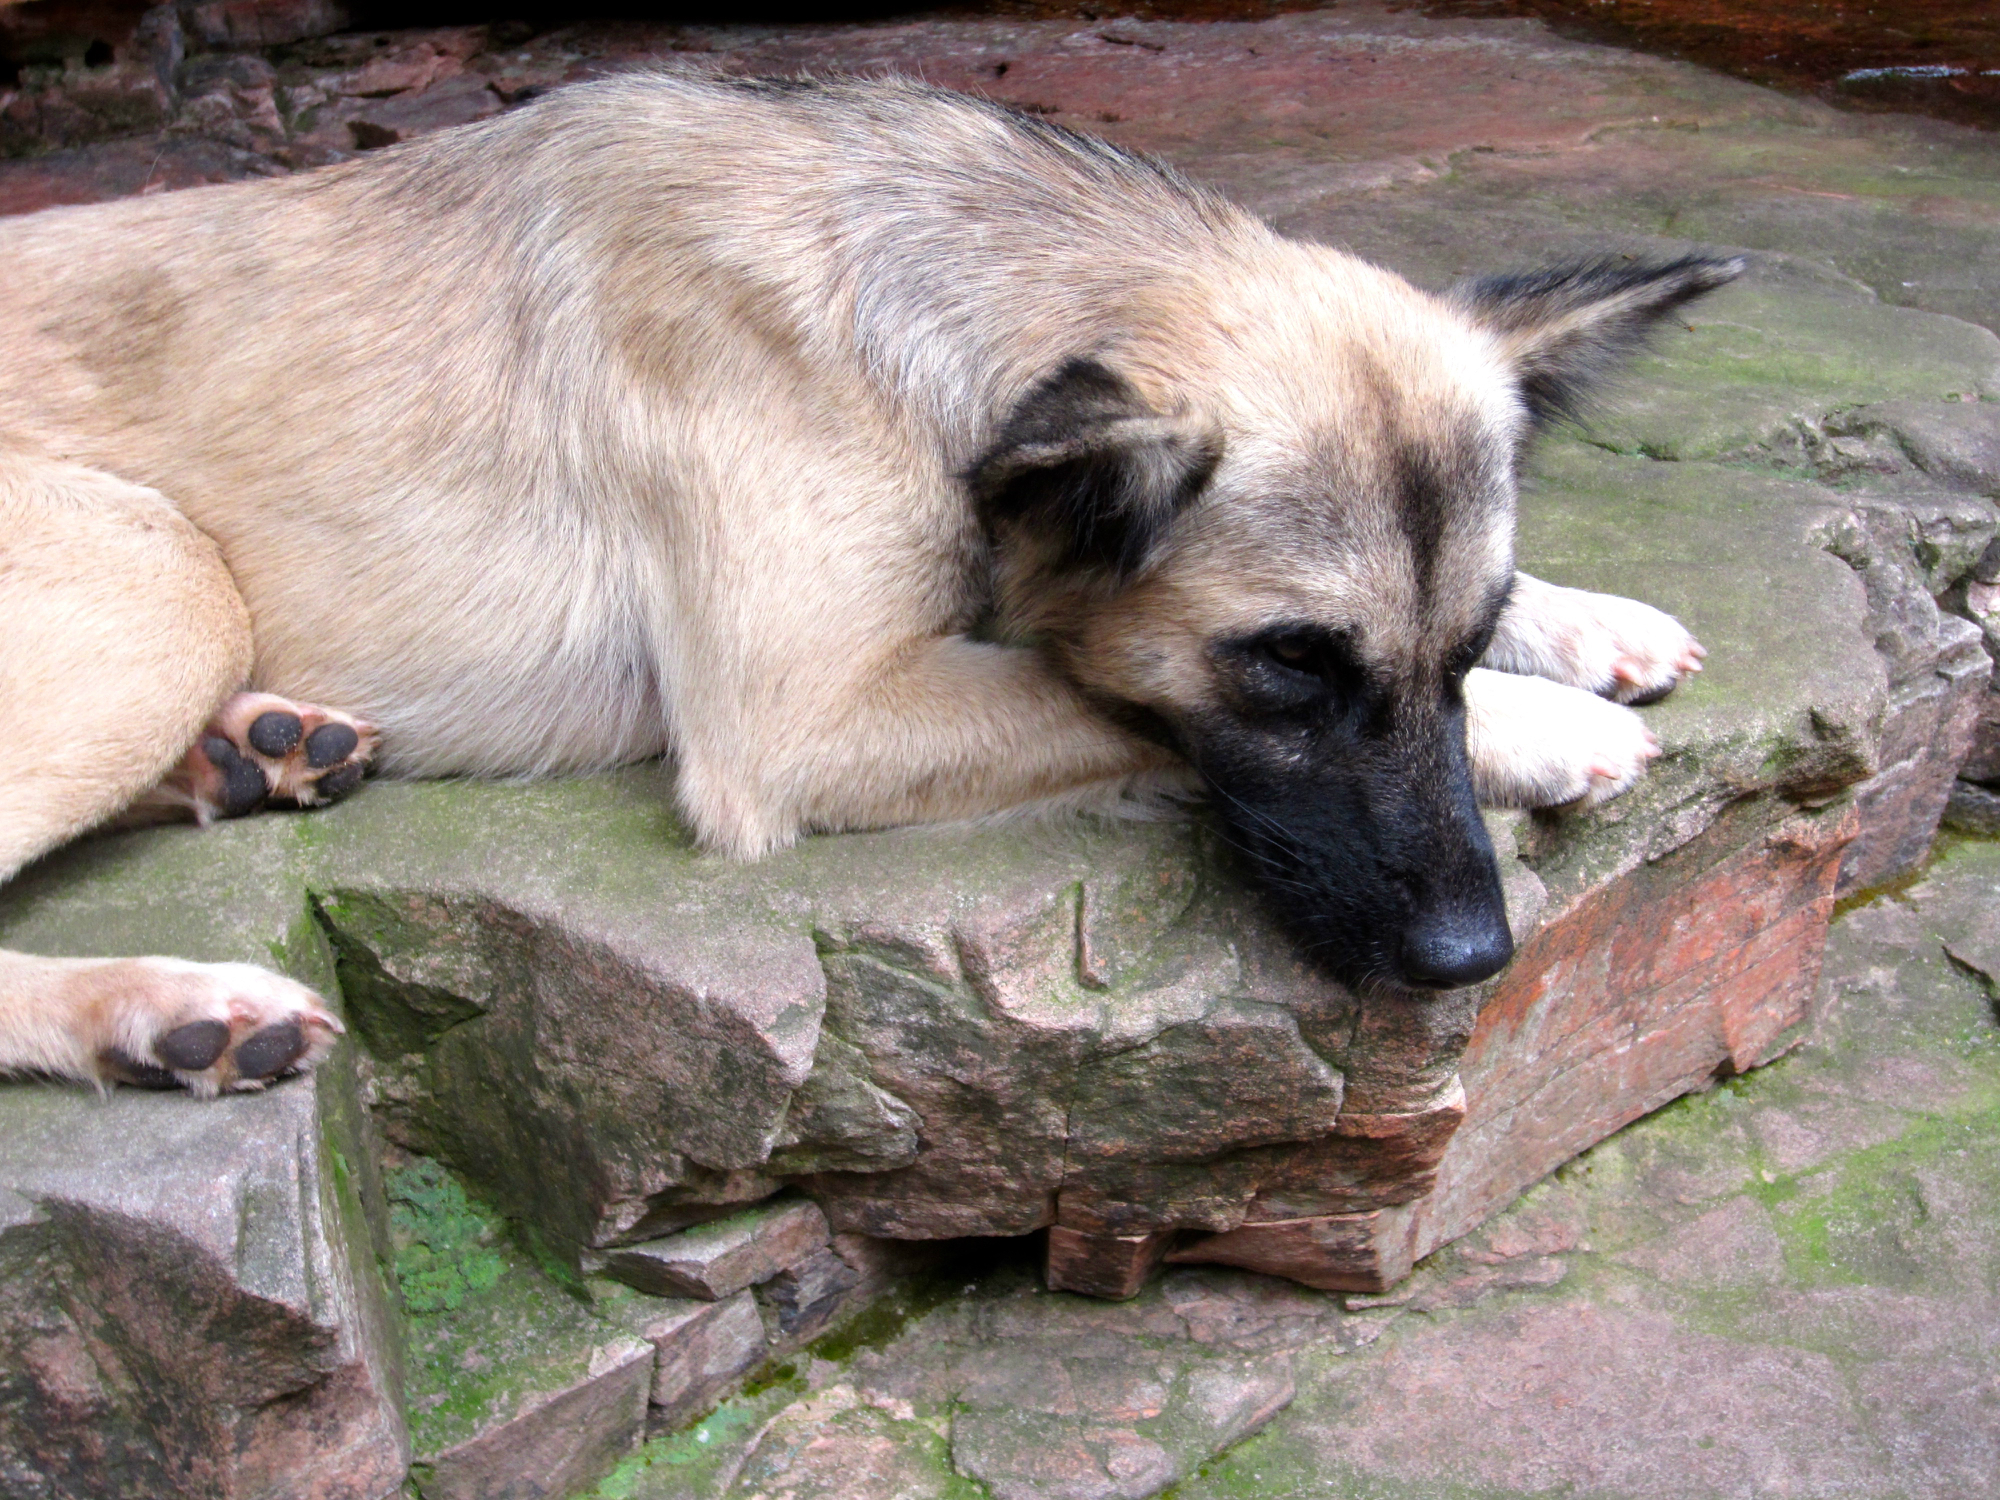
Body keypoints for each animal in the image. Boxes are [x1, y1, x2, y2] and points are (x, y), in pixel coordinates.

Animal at [0, 73, 1736, 1096]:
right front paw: (1543, 727)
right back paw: (154, 1004)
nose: (1473, 958)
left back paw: (250, 751)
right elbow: (1099, 693)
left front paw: (1572, 627)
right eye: (1289, 665)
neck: (923, 303)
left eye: (1454, 638)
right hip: (163, 577)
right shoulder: (809, 721)